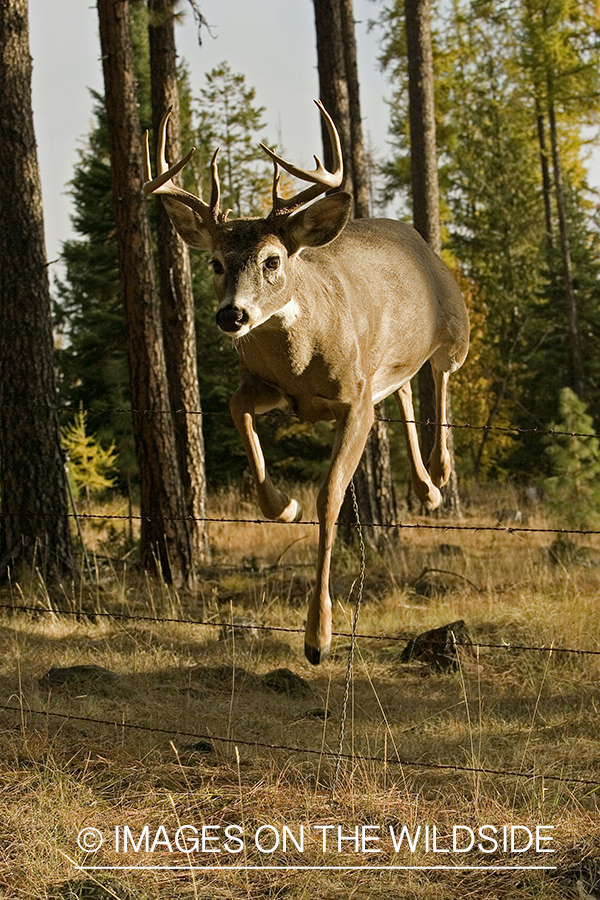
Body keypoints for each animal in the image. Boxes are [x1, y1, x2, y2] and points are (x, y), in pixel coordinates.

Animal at [143, 101, 469, 665]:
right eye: (215, 262)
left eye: (272, 259)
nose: (232, 315)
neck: (300, 357)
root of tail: (412, 235)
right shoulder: (272, 388)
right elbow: (236, 409)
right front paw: (281, 505)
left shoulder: (354, 401)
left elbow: (331, 496)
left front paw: (319, 636)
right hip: (387, 359)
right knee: (404, 384)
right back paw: (424, 489)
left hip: (456, 325)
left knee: (440, 370)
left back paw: (439, 471)